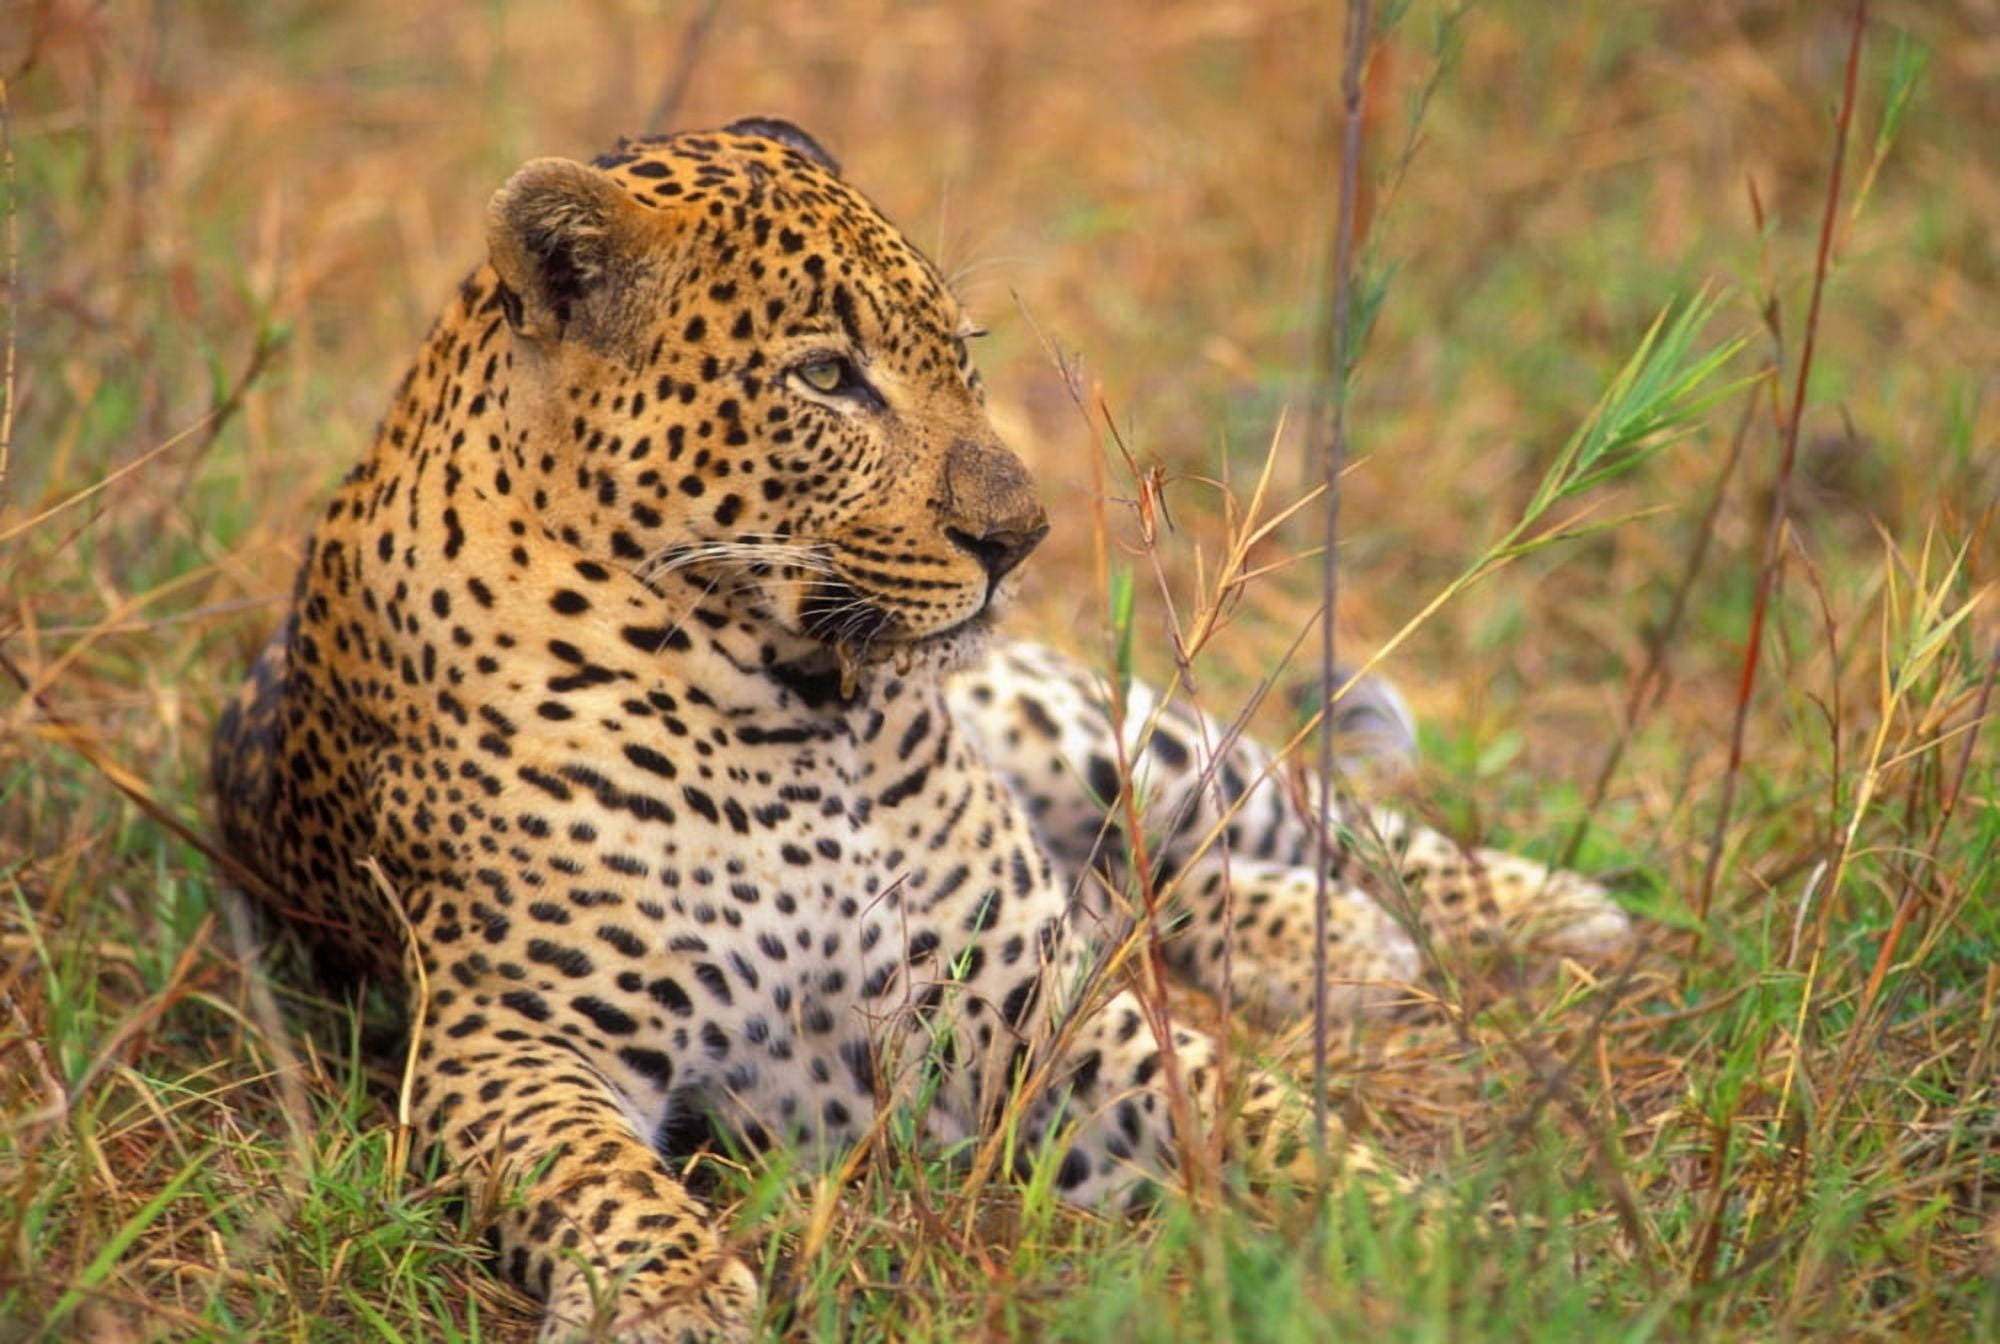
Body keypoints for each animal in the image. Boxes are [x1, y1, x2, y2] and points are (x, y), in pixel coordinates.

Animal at [212, 118, 1631, 1342]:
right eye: (826, 378)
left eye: (963, 352)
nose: (1020, 538)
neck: (791, 718)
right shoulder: (508, 1038)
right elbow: (595, 1175)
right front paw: (669, 1297)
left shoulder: (1028, 1008)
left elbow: (1252, 1110)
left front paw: (1443, 1232)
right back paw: (1322, 936)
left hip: (1099, 733)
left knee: (1288, 810)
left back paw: (1547, 909)